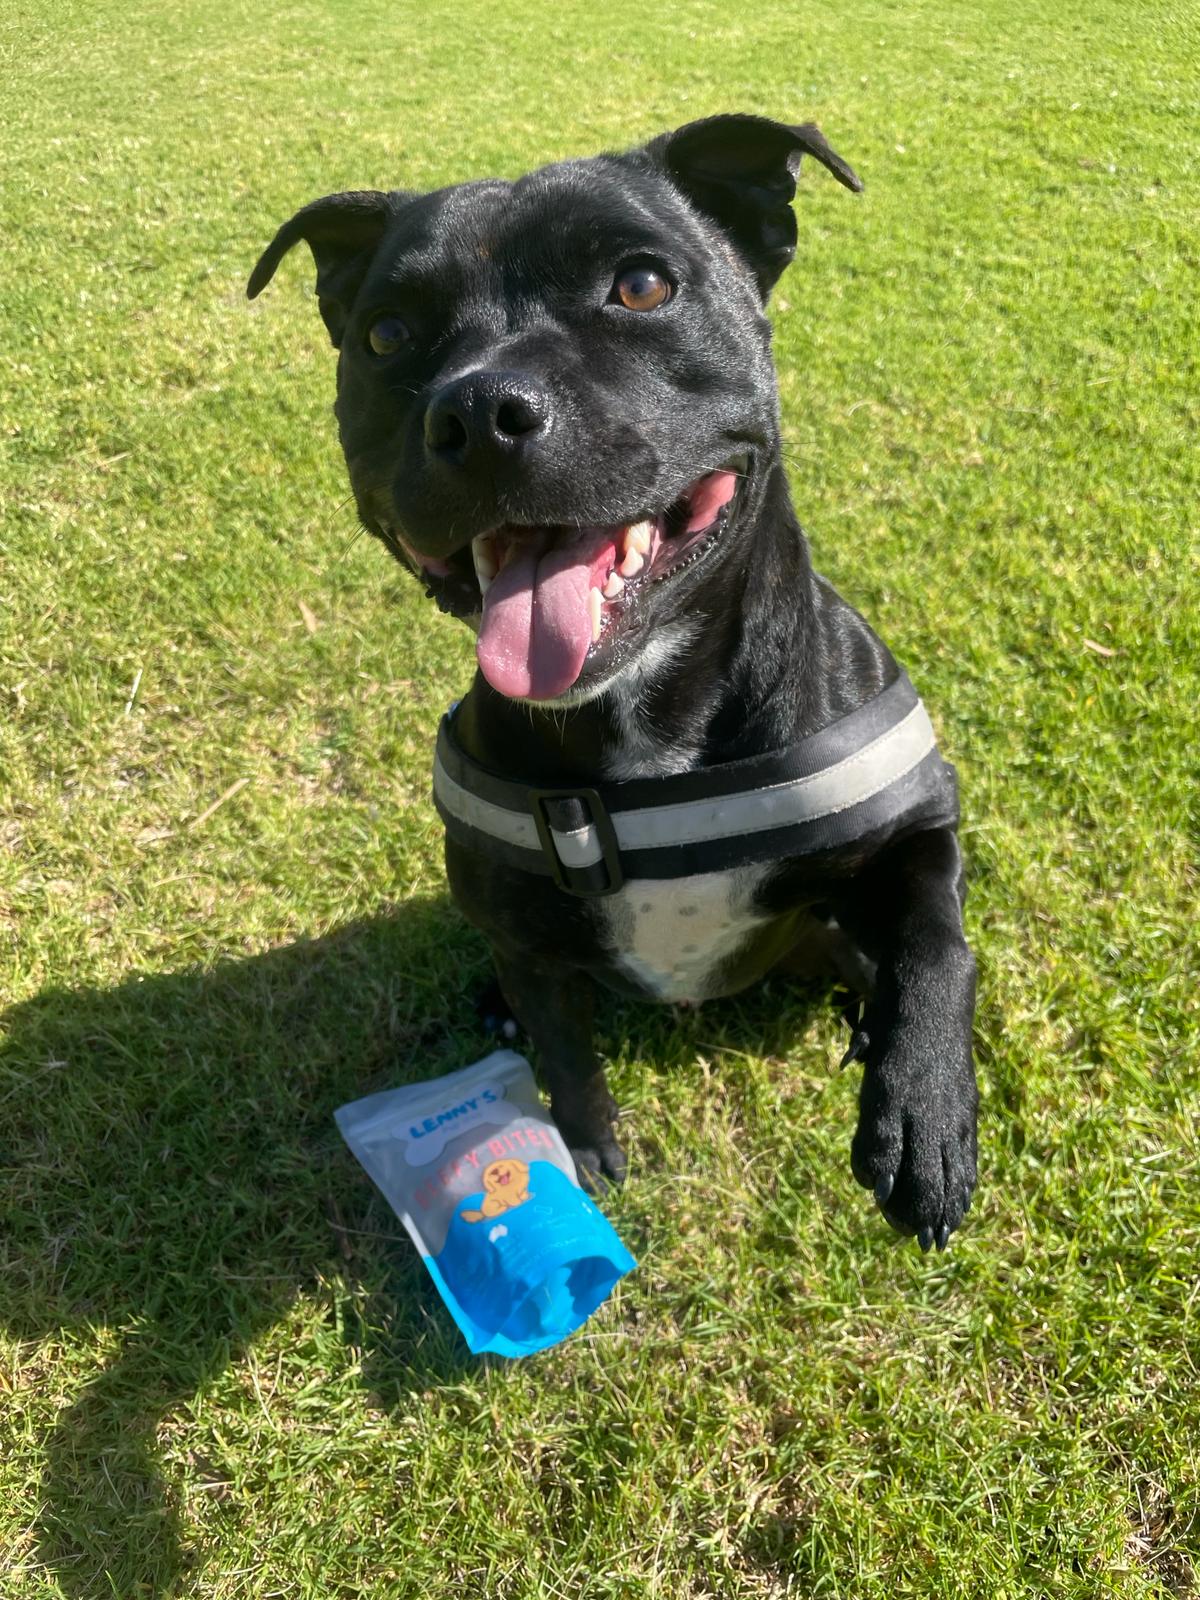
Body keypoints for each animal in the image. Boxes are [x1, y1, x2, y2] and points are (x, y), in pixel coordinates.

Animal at [251, 118, 979, 1254]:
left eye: (640, 286)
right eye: (385, 335)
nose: (480, 409)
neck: (643, 725)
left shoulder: (915, 812)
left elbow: (938, 939)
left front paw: (926, 1113)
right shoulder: (526, 937)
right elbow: (563, 1052)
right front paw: (584, 1153)